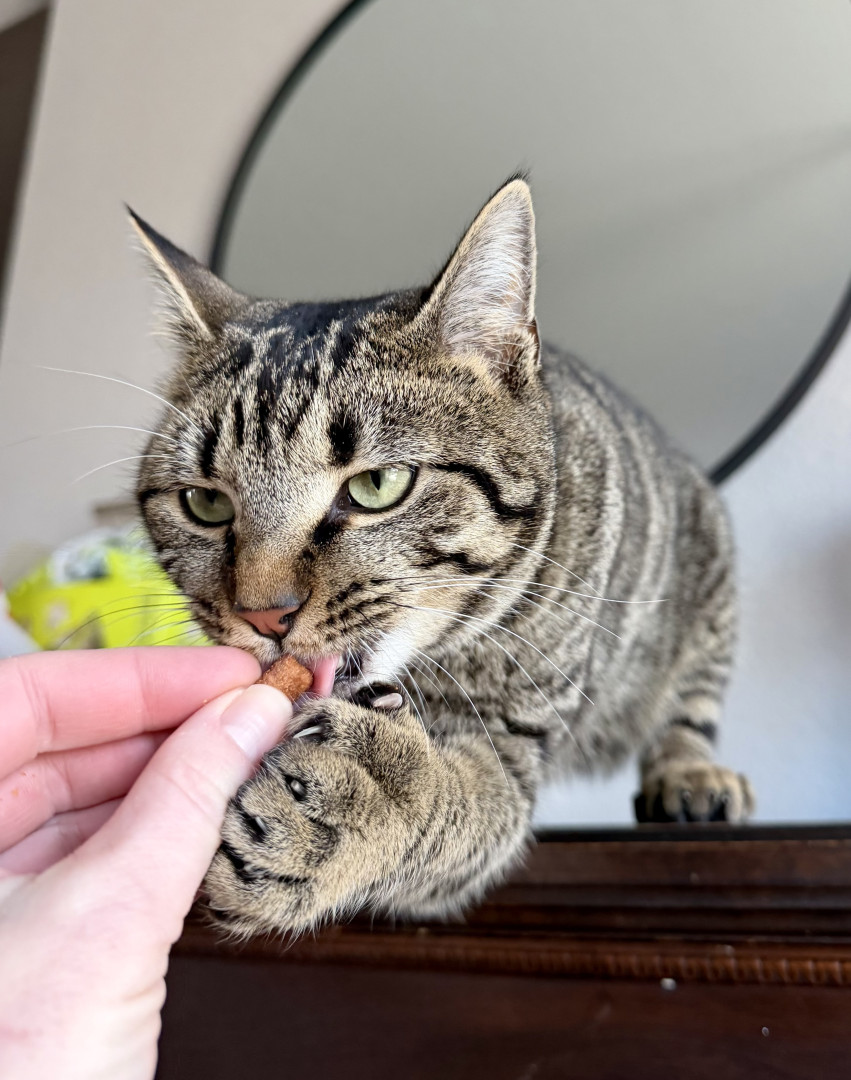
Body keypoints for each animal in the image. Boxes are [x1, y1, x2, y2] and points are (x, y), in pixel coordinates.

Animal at [132, 177, 753, 937]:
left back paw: (692, 775)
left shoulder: (511, 740)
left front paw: (372, 792)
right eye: (205, 503)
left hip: (708, 571)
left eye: (377, 485)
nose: (263, 615)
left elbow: (459, 807)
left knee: (689, 711)